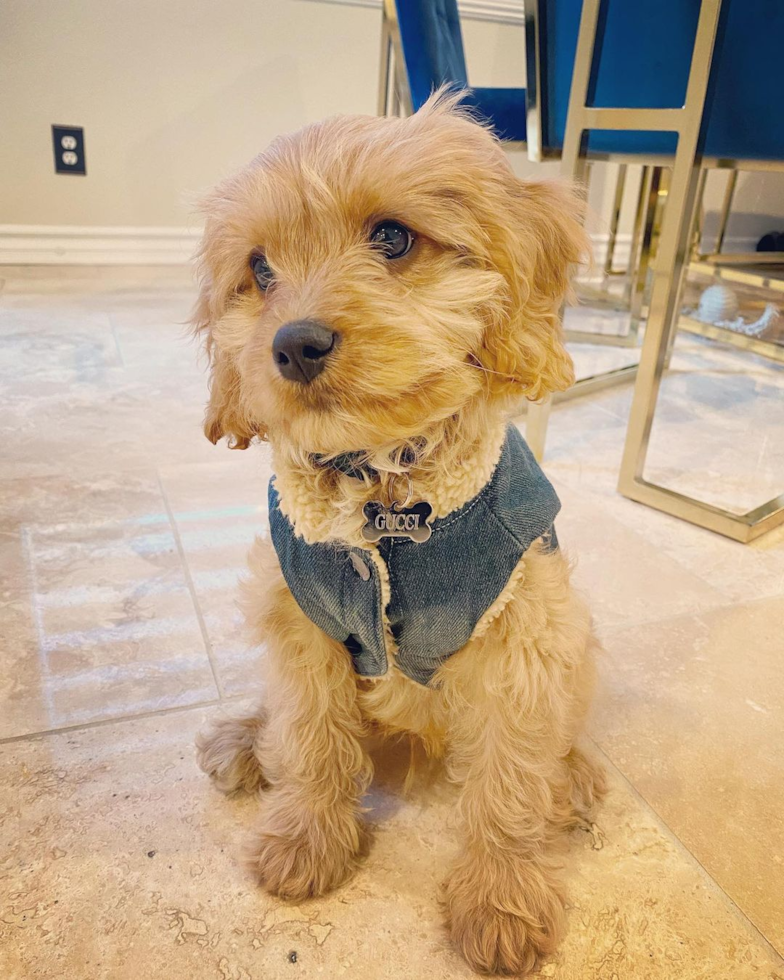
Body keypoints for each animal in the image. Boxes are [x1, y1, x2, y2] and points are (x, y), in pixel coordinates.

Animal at [191, 90, 608, 972]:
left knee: (554, 743)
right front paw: (308, 840)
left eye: (392, 237)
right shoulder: (302, 618)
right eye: (260, 271)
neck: (383, 492)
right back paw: (247, 738)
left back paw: (573, 777)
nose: (293, 343)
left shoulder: (523, 635)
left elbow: (509, 780)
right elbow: (311, 737)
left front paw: (502, 899)